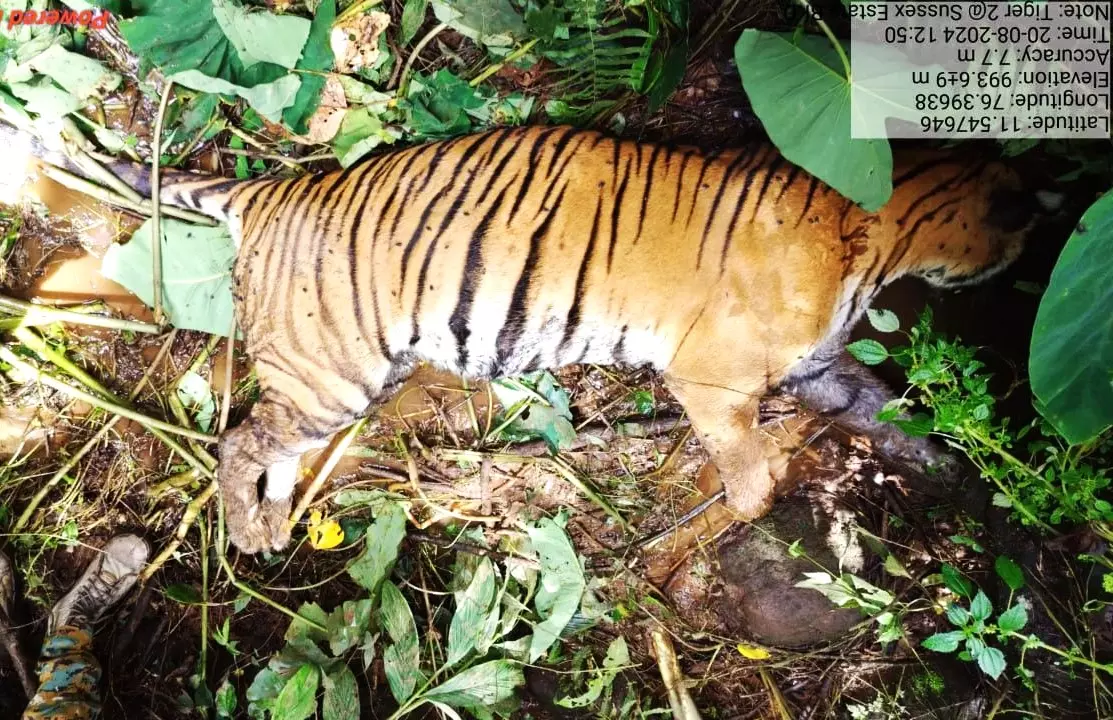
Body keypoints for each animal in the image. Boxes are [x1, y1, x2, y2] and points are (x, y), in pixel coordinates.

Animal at [6, 122, 1050, 551]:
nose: (1036, 232)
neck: (879, 235)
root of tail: (274, 188)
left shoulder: (820, 368)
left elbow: (895, 414)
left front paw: (964, 472)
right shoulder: (713, 380)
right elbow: (746, 460)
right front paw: (756, 510)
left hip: (331, 383)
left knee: (266, 444)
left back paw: (276, 518)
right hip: (331, 373)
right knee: (238, 441)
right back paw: (257, 535)